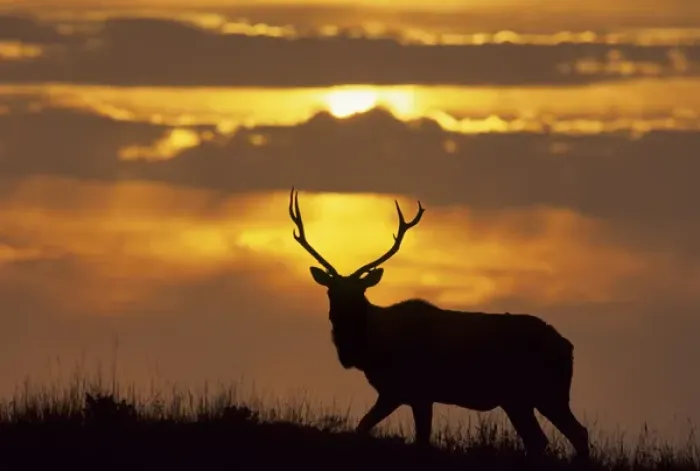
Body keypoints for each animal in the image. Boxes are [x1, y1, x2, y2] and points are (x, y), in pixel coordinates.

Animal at [288, 187, 590, 463]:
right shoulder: (402, 392)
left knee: (578, 433)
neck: (375, 349)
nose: (339, 317)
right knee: (540, 440)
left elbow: (415, 439)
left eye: (360, 292)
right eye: (330, 291)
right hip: (518, 399)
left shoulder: (412, 390)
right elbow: (366, 428)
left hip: (548, 391)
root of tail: (568, 347)